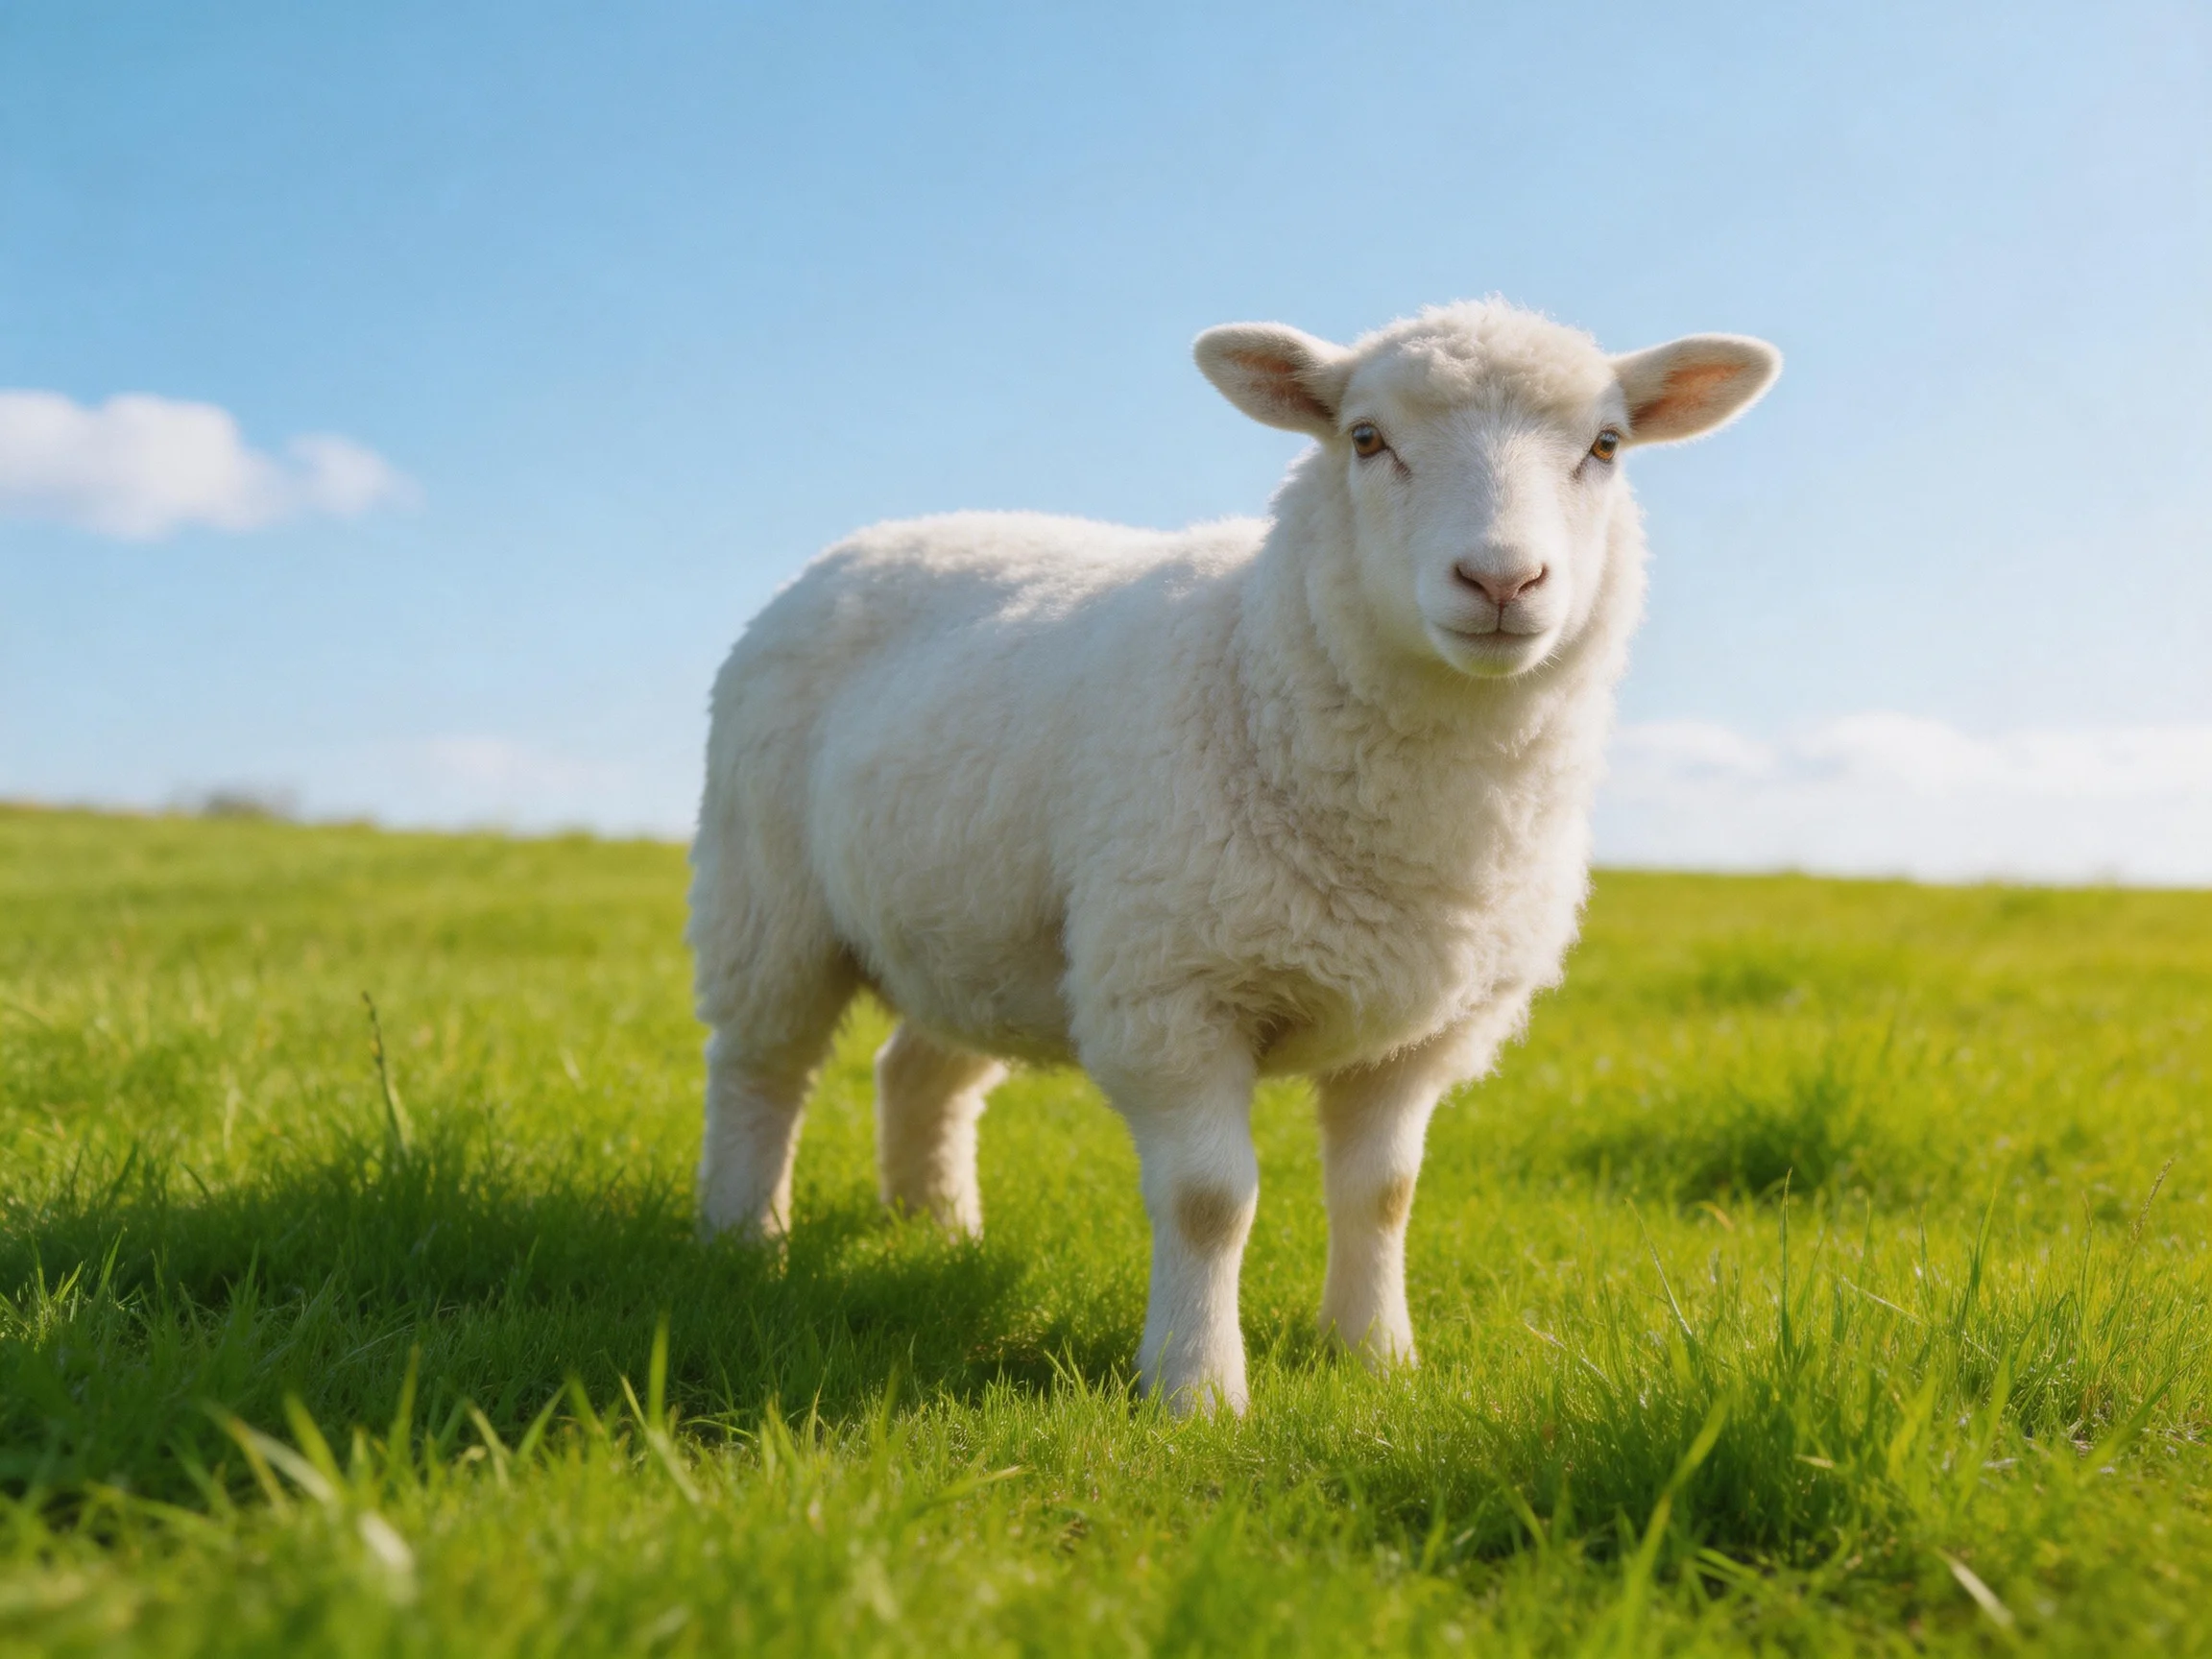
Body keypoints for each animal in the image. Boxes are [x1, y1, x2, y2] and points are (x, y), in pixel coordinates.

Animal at [687, 299, 1779, 1414]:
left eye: (1605, 446)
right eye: (1366, 439)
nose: (1502, 579)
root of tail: (878, 535)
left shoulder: (1421, 1032)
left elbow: (1384, 1194)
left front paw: (1375, 1357)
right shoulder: (1174, 990)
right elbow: (1210, 1200)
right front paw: (1195, 1390)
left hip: (976, 923)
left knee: (922, 1073)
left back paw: (938, 1234)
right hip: (764, 889)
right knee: (761, 1068)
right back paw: (743, 1240)